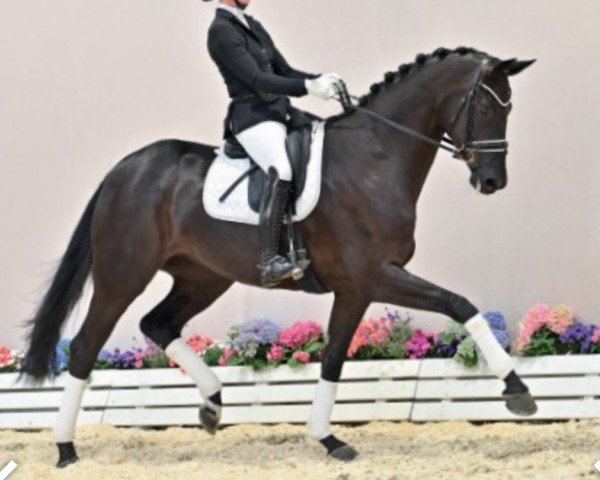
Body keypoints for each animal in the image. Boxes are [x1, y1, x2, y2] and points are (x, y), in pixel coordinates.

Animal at [23, 46, 536, 464]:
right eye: (485, 105)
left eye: (510, 107)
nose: (492, 181)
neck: (375, 159)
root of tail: (124, 169)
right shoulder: (375, 275)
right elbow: (460, 304)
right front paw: (517, 390)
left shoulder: (355, 289)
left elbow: (333, 360)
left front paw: (328, 439)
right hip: (124, 274)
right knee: (86, 346)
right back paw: (65, 449)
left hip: (203, 277)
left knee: (159, 324)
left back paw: (212, 405)